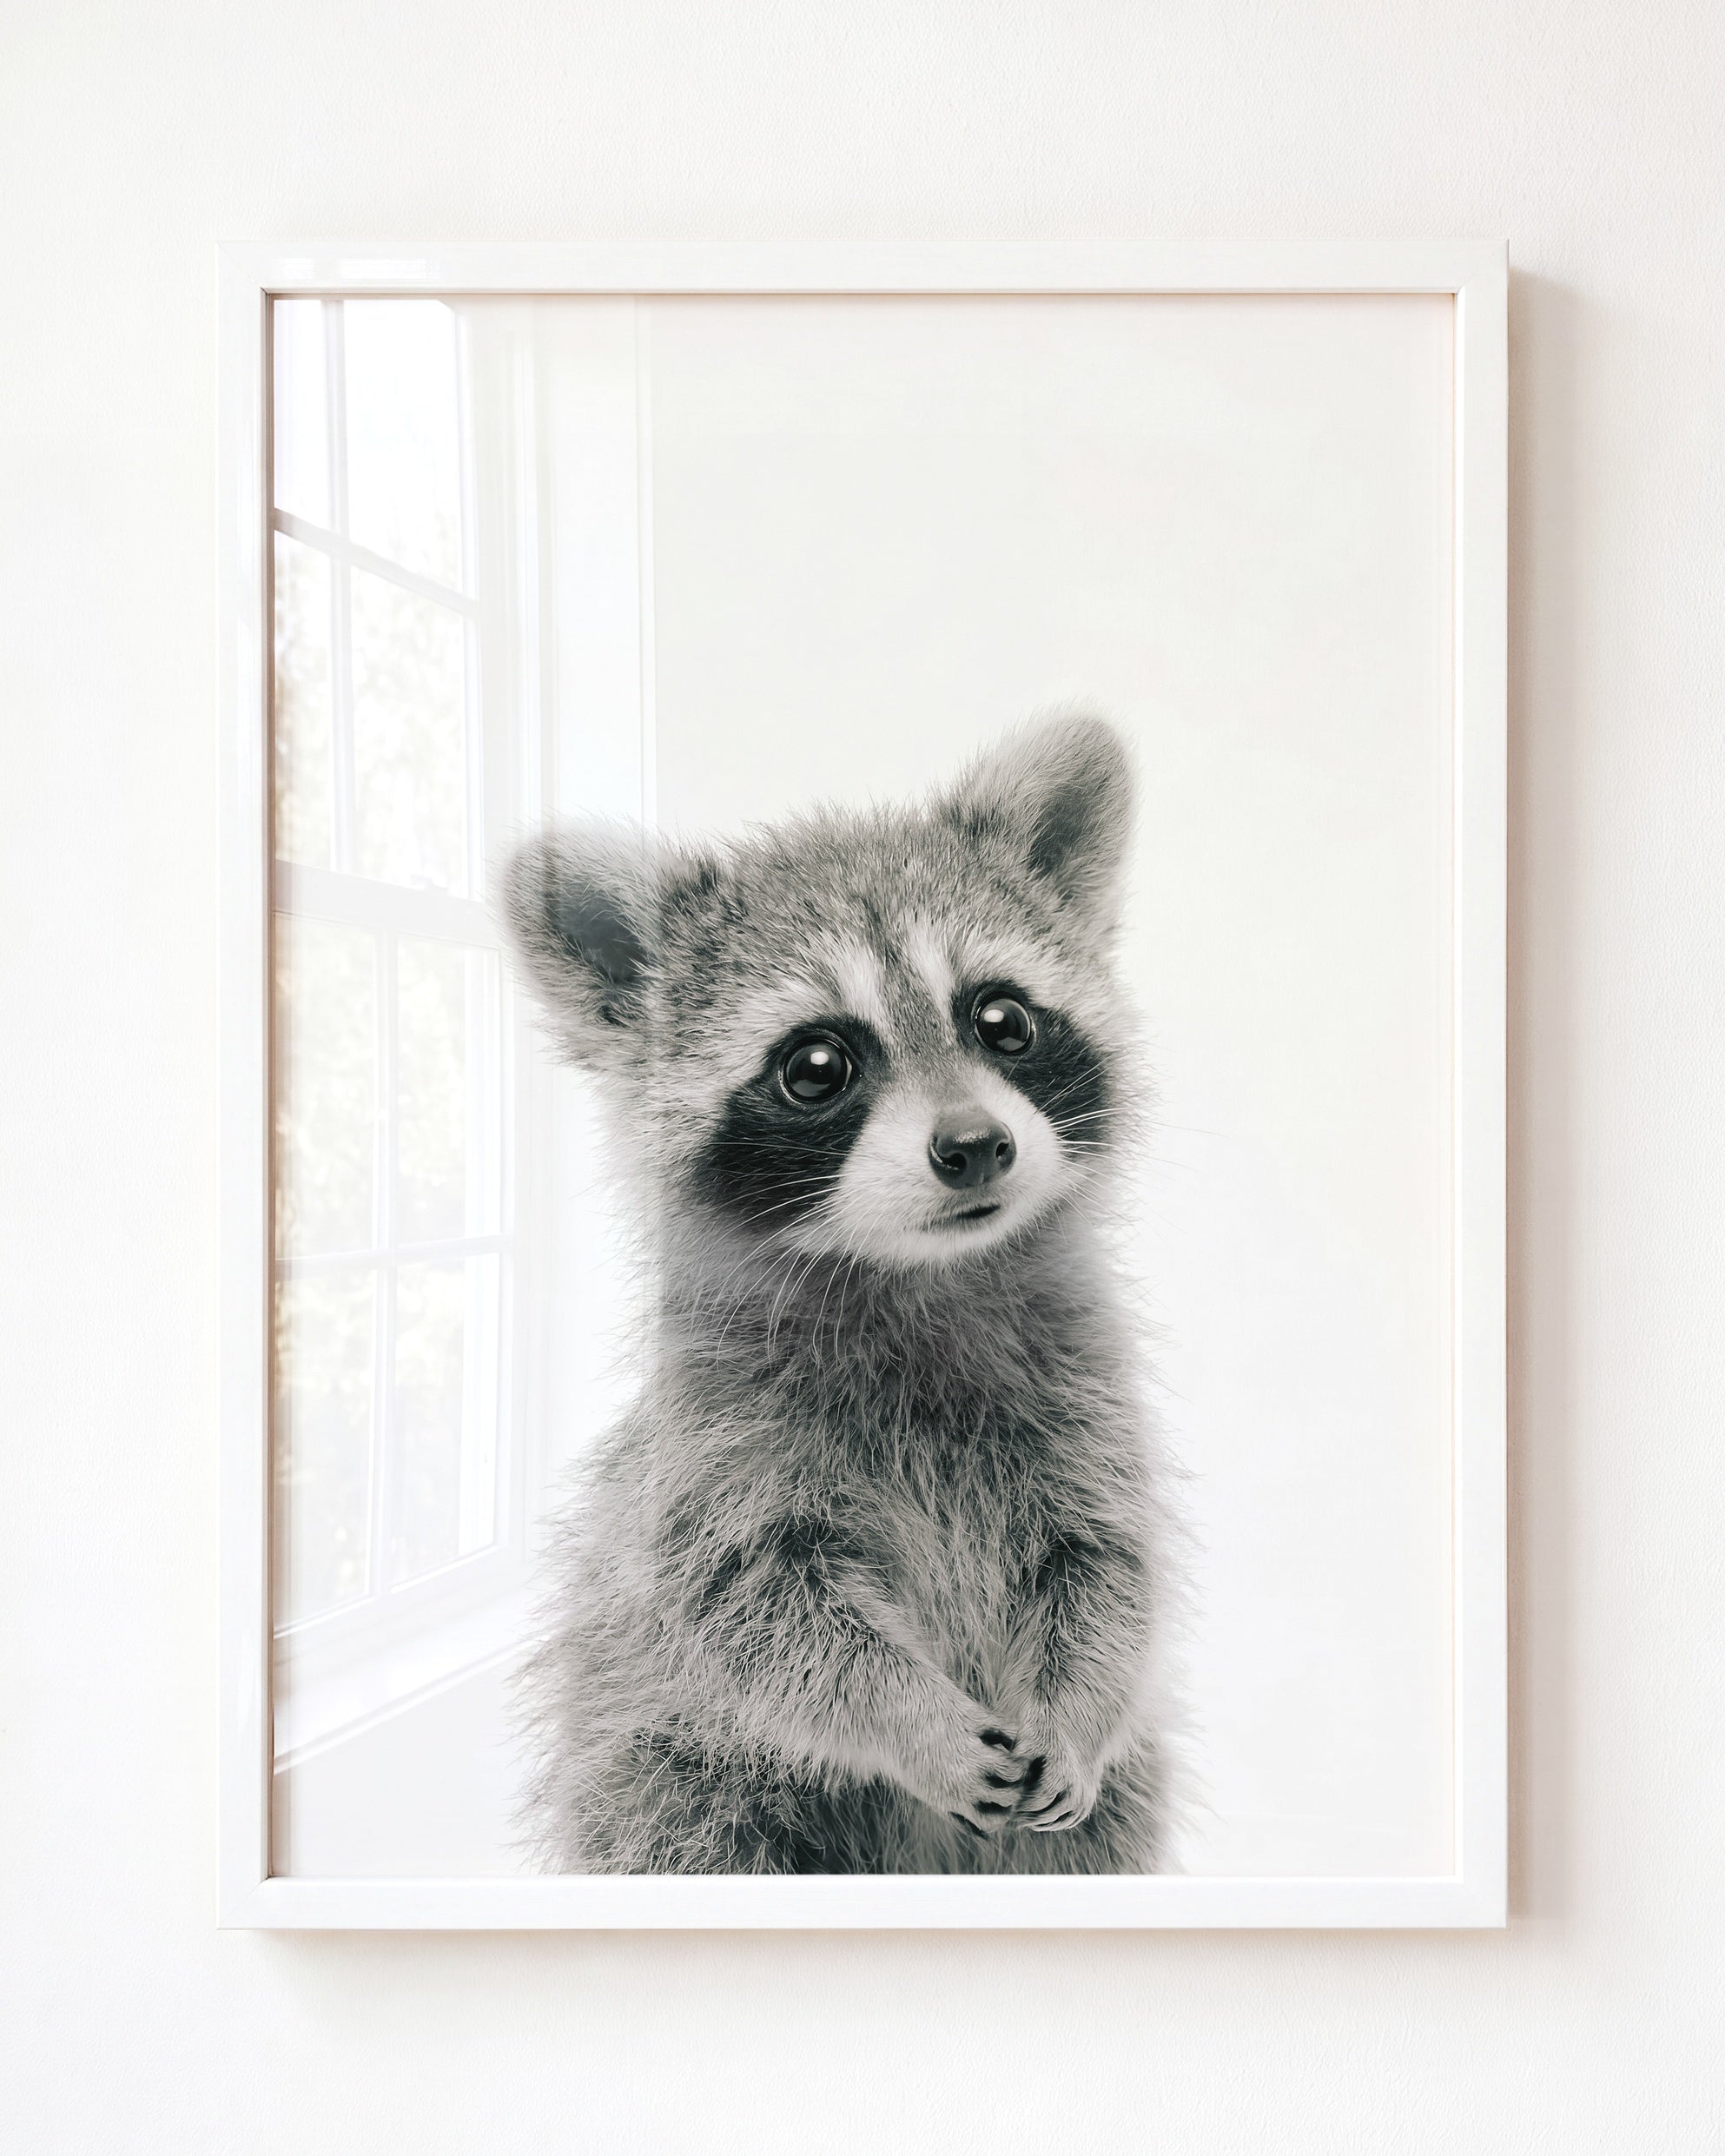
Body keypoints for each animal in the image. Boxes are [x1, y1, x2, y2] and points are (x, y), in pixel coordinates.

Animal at [503, 714, 1182, 1874]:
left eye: (1003, 1019)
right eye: (817, 1064)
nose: (975, 1145)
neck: (918, 1273)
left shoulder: (1087, 1405)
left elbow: (1106, 1565)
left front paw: (1080, 1705)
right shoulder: (712, 1454)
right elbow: (759, 1617)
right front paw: (913, 1722)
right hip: (669, 1778)